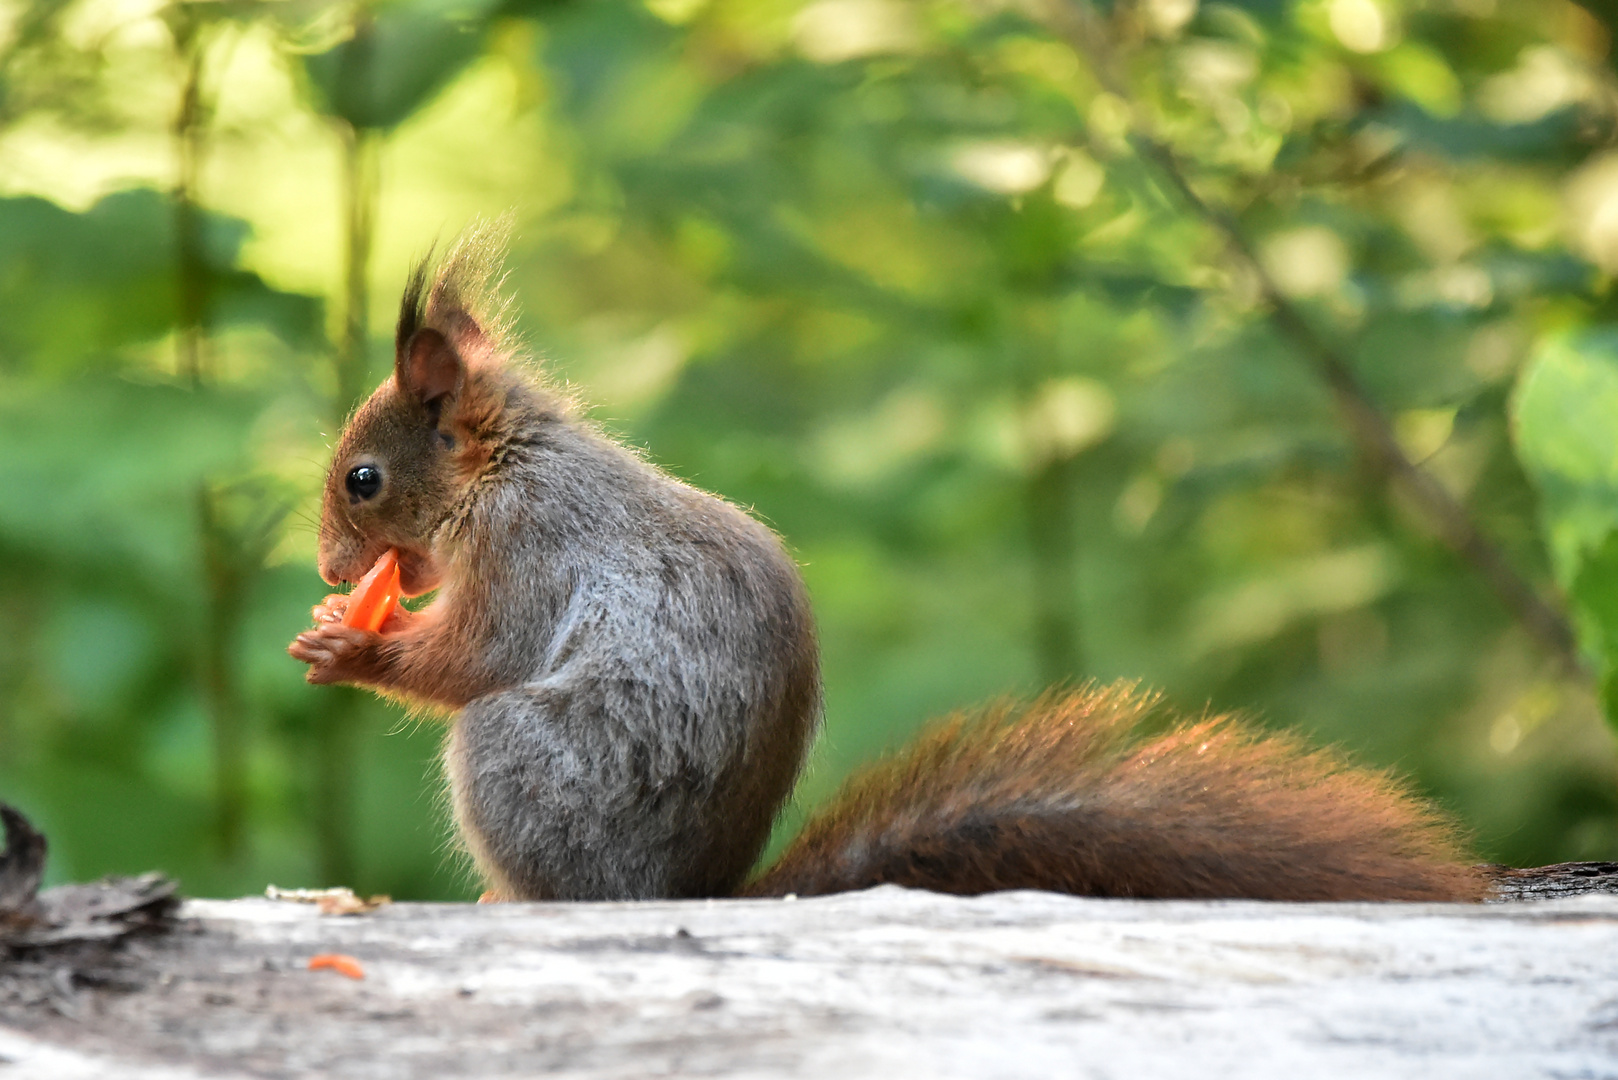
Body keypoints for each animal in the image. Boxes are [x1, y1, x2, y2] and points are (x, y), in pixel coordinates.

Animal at [294, 228, 1488, 906]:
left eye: (363, 479)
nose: (329, 564)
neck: (509, 462)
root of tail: (689, 890)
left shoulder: (528, 547)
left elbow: (474, 658)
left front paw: (349, 643)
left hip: (519, 765)